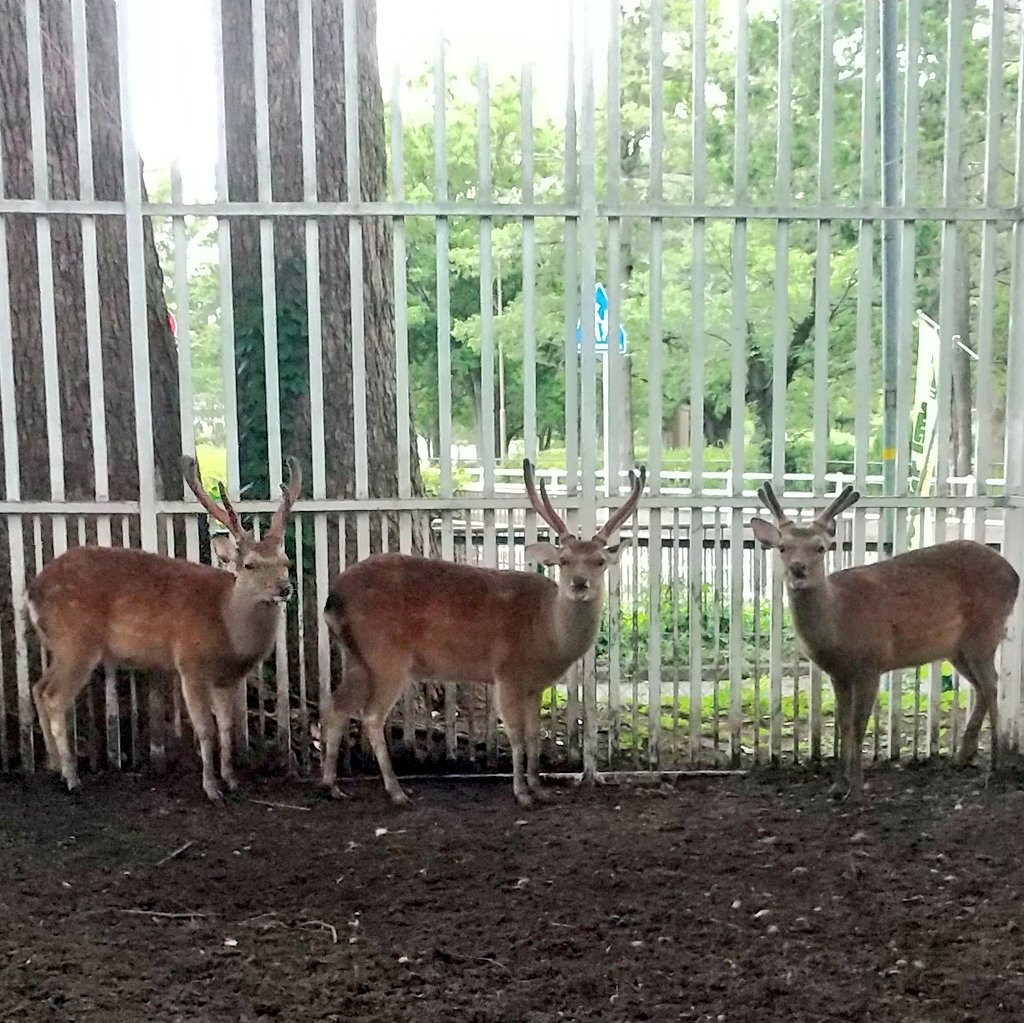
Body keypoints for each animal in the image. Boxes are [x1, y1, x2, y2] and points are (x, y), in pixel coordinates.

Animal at [27, 456, 302, 803]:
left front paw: (231, 779)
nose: (284, 588)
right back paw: (72, 777)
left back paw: (53, 766)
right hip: (76, 641)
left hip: (59, 645)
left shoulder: (226, 677)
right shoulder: (190, 663)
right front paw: (211, 788)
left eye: (286, 562)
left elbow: (227, 727)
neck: (227, 626)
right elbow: (205, 729)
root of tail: (32, 592)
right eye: (250, 564)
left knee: (38, 687)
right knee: (54, 696)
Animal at [317, 459, 646, 808]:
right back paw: (396, 791)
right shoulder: (508, 672)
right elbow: (515, 735)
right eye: (564, 560)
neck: (547, 636)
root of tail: (332, 598)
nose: (579, 584)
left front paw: (539, 788)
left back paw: (332, 785)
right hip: (385, 656)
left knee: (336, 705)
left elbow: (534, 734)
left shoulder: (535, 685)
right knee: (371, 716)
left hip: (358, 657)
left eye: (600, 561)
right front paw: (521, 793)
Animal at [750, 482, 1020, 803]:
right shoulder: (838, 673)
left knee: (991, 686)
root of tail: (1015, 575)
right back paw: (962, 757)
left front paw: (856, 790)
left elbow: (858, 725)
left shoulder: (871, 663)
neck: (838, 622)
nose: (798, 569)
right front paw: (836, 786)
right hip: (957, 648)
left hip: (984, 632)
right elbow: (842, 724)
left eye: (820, 547)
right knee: (982, 687)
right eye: (782, 547)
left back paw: (995, 765)